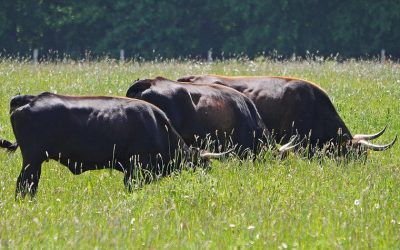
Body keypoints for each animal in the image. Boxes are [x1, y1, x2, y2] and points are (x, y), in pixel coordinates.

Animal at [0, 92, 225, 197]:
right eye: (205, 165)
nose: (208, 185)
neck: (158, 126)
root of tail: (30, 99)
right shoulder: (135, 170)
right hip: (33, 160)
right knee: (24, 186)